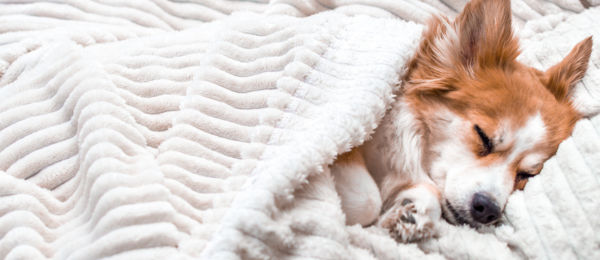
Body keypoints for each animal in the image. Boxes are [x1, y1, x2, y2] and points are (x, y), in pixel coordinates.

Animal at [330, 0, 592, 243]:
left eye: (527, 174)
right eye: (483, 136)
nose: (488, 209)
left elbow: (429, 194)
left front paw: (413, 214)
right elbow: (368, 200)